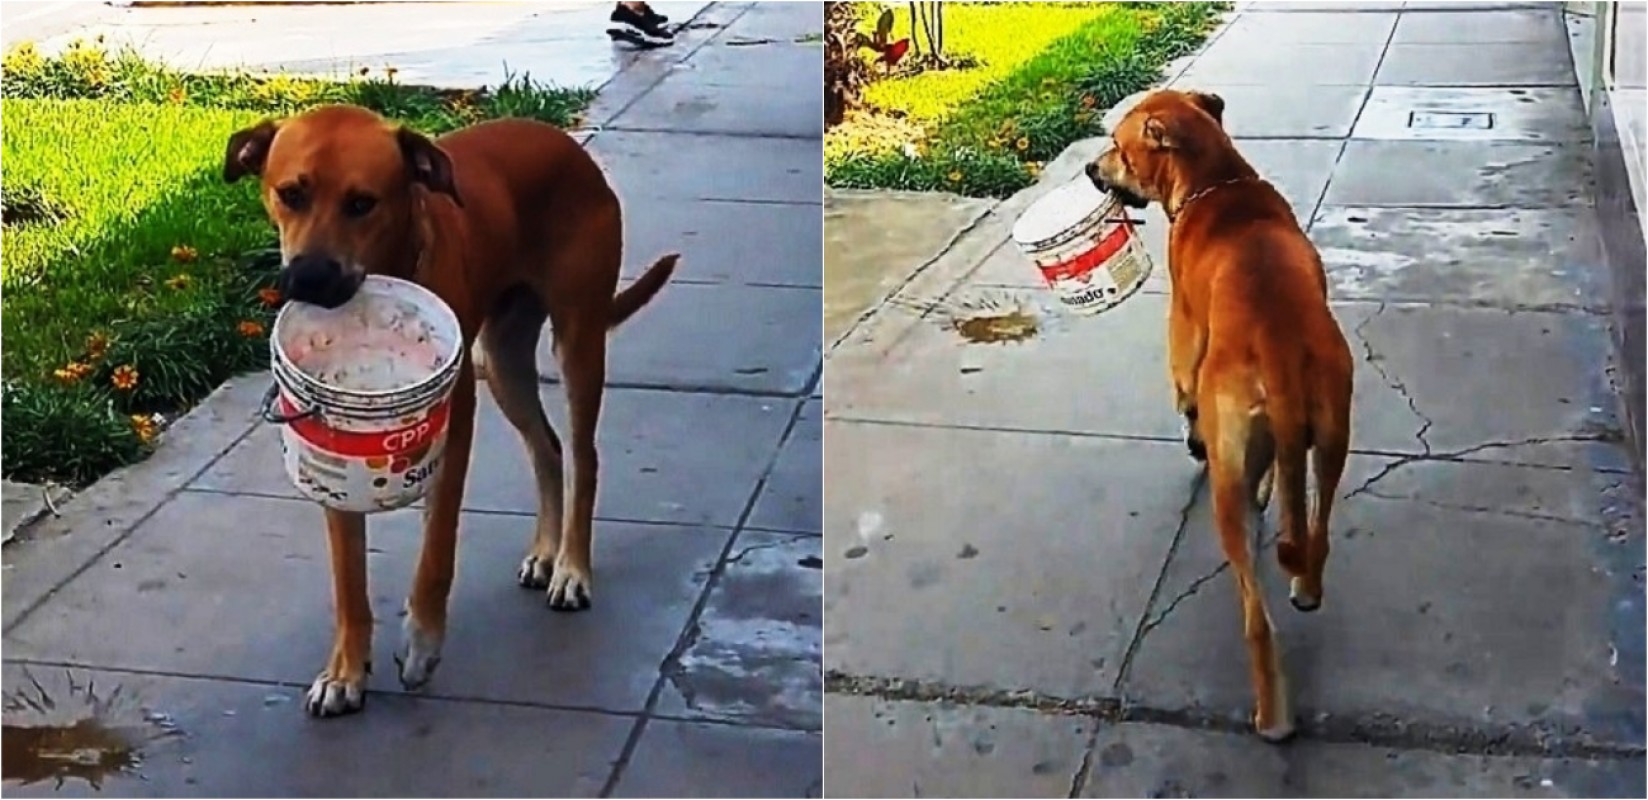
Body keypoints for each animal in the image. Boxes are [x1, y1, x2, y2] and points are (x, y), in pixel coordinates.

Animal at [225, 103, 675, 712]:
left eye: (362, 203)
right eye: (290, 194)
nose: (309, 280)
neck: (390, 268)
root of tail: (566, 146)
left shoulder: (456, 421)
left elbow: (437, 548)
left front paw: (421, 642)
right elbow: (348, 577)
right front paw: (346, 670)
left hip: (578, 338)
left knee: (584, 454)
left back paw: (572, 567)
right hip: (504, 360)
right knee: (547, 447)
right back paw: (546, 551)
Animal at [1081, 89, 1351, 742]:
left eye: (1119, 146)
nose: (1090, 169)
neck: (1216, 183)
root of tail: (1279, 348)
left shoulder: (1182, 332)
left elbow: (1181, 390)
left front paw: (1190, 435)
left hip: (1228, 484)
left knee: (1256, 617)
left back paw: (1271, 717)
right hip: (1335, 434)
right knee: (1317, 532)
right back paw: (1306, 587)